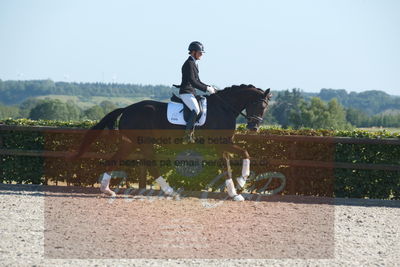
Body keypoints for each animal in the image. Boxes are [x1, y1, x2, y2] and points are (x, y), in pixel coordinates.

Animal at [70, 85, 274, 202]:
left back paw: (107, 190)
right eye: (259, 104)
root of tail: (127, 108)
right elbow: (240, 156)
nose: (254, 127)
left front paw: (236, 189)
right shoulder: (221, 143)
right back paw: (171, 192)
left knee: (115, 160)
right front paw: (240, 184)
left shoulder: (223, 144)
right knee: (152, 165)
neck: (224, 108)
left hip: (131, 143)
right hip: (143, 142)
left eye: (266, 107)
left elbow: (232, 161)